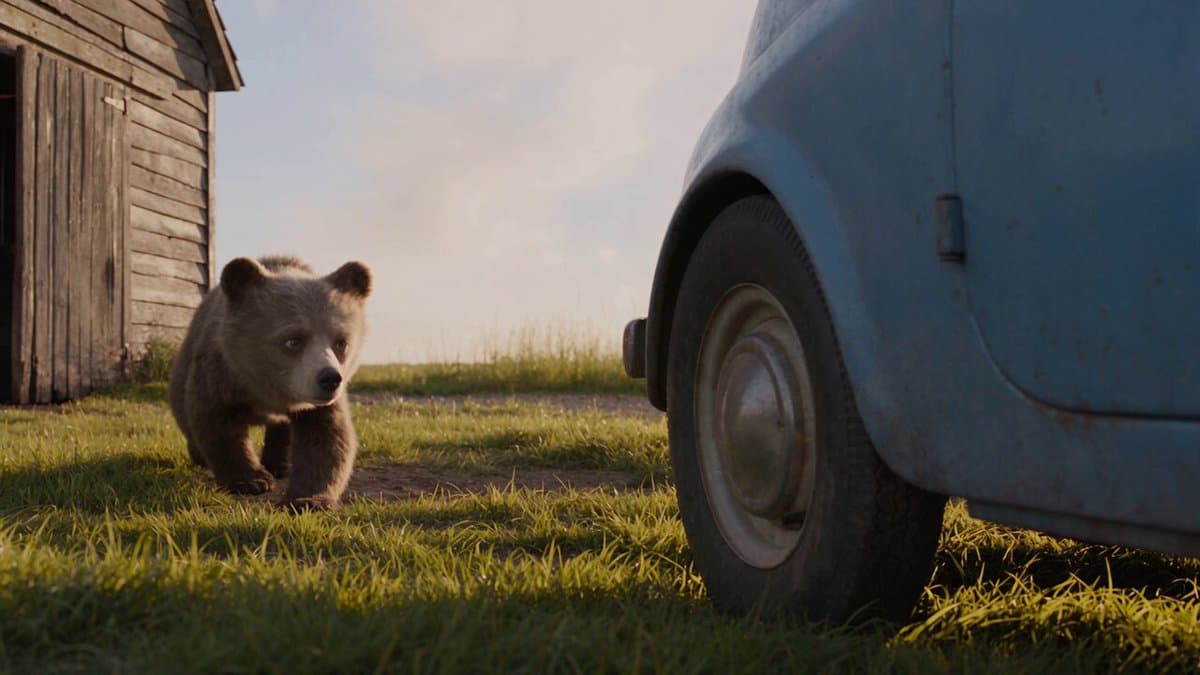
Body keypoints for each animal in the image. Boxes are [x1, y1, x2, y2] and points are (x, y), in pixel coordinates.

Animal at [168, 255, 372, 510]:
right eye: (293, 340)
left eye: (341, 342)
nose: (330, 379)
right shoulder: (221, 375)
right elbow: (217, 423)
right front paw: (251, 481)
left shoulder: (316, 403)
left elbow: (327, 438)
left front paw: (307, 499)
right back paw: (200, 457)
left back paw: (279, 465)